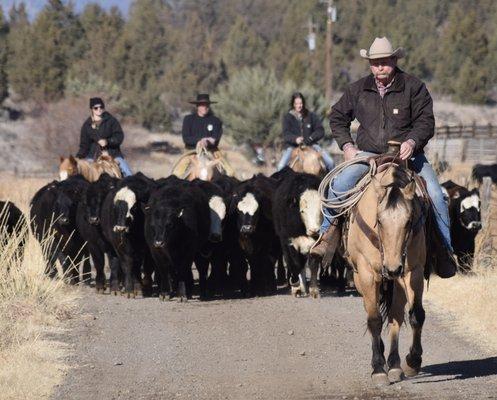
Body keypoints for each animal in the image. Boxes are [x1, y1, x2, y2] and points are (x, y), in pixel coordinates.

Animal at [272, 168, 322, 296]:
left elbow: (313, 264)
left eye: (321, 210)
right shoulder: (291, 242)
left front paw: (314, 290)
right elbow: (295, 264)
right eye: (302, 211)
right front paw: (296, 287)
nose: (314, 230)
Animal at [340, 161, 426, 386]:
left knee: (395, 315)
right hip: (362, 280)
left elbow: (416, 315)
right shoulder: (367, 274)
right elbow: (374, 320)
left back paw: (395, 364)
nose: (393, 268)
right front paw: (378, 369)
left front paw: (413, 361)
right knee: (373, 313)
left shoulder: (413, 272)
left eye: (409, 221)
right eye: (378, 220)